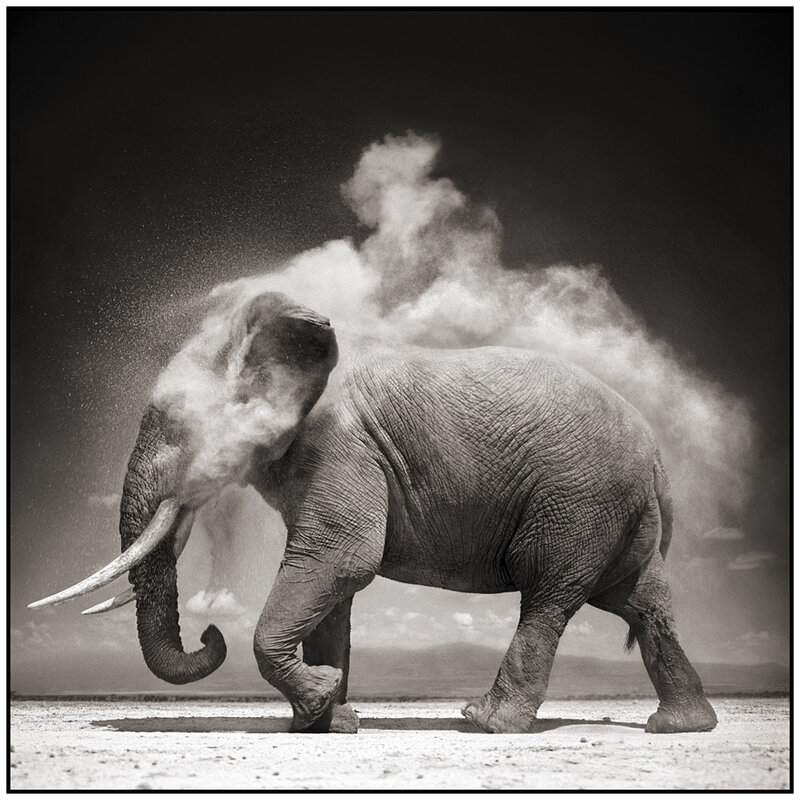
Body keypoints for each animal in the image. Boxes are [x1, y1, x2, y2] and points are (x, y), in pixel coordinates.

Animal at [30, 290, 718, 735]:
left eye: (177, 426)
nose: (209, 634)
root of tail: (657, 457)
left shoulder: (342, 447)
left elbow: (341, 559)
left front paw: (320, 702)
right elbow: (333, 588)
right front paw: (327, 721)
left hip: (578, 500)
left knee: (549, 596)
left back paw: (486, 723)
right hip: (615, 511)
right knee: (641, 602)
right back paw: (680, 727)